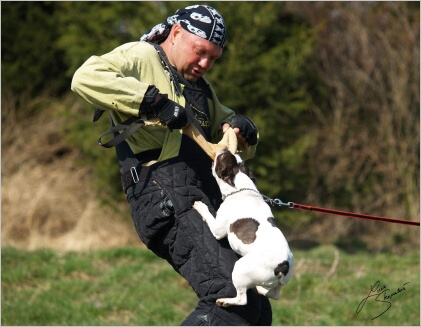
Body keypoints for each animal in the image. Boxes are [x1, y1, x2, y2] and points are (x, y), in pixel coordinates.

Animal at [193, 150, 294, 308]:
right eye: (236, 157)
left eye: (221, 159)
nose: (224, 149)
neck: (240, 188)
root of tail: (283, 266)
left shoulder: (218, 229)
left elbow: (209, 216)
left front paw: (201, 207)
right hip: (276, 282)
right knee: (274, 294)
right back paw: (260, 288)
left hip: (240, 268)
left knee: (242, 299)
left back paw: (225, 301)